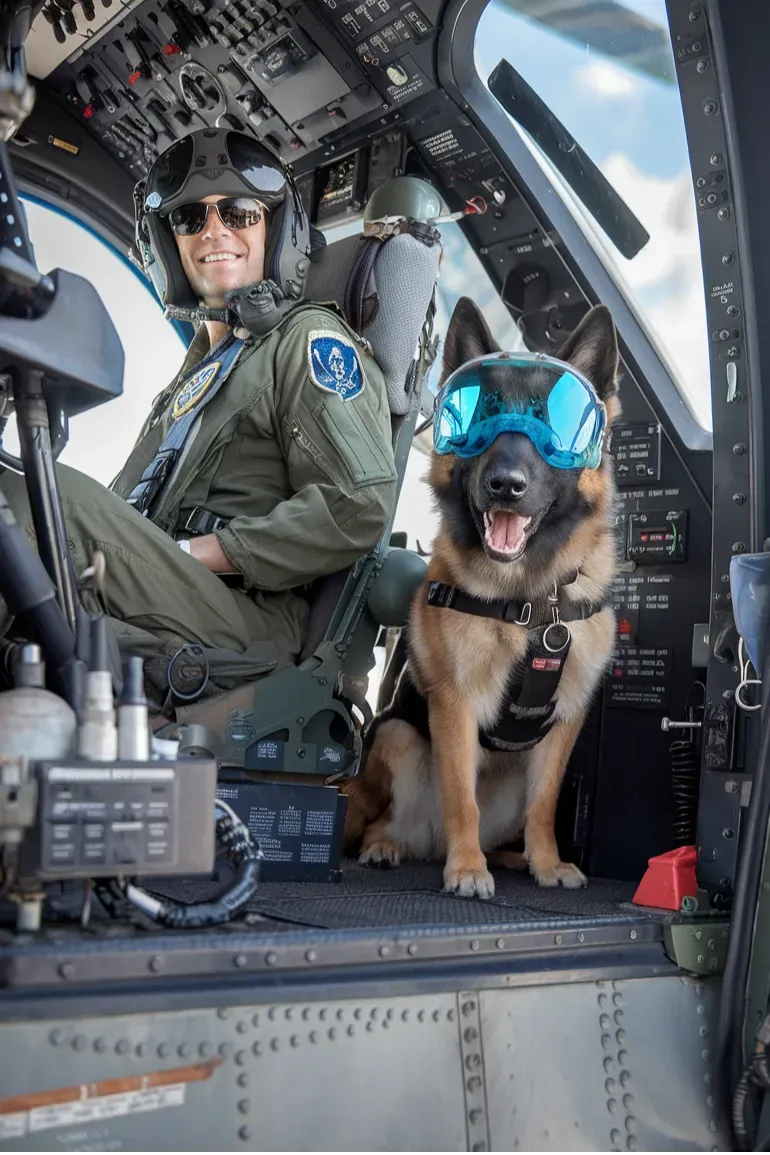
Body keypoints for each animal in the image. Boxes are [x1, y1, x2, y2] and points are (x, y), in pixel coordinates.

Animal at [346, 293, 623, 896]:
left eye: (552, 423)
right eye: (480, 417)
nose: (506, 485)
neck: (531, 599)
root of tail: (426, 844)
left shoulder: (565, 722)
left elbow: (545, 805)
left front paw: (545, 862)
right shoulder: (455, 706)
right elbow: (462, 799)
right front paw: (467, 868)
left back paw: (508, 858)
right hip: (398, 736)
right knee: (386, 821)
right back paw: (390, 848)